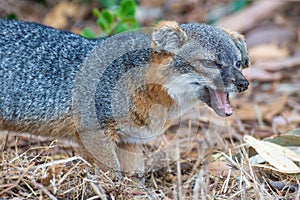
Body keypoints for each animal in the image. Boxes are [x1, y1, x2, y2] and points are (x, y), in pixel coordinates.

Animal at [0, 18, 248, 175]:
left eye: (238, 63)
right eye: (211, 63)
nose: (244, 83)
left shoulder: (129, 139)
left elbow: (135, 176)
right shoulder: (93, 132)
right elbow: (114, 173)